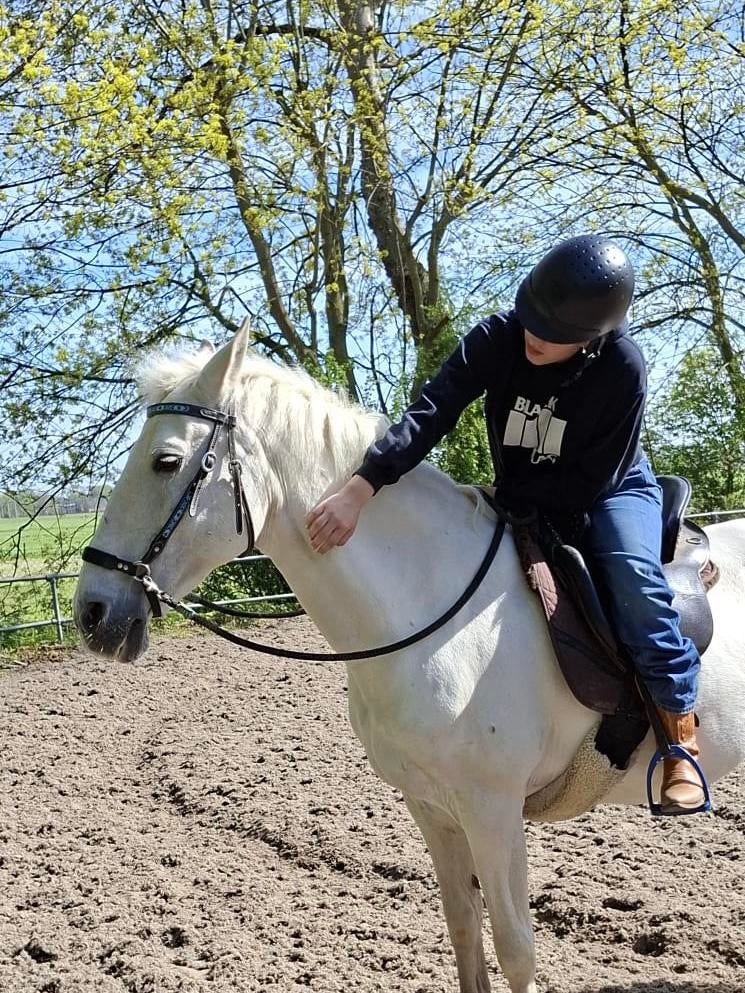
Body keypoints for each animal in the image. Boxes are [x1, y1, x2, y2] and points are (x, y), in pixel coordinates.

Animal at [74, 327, 745, 993]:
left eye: (166, 461)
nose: (94, 613)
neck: (438, 619)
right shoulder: (430, 806)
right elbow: (464, 928)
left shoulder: (493, 810)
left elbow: (515, 949)